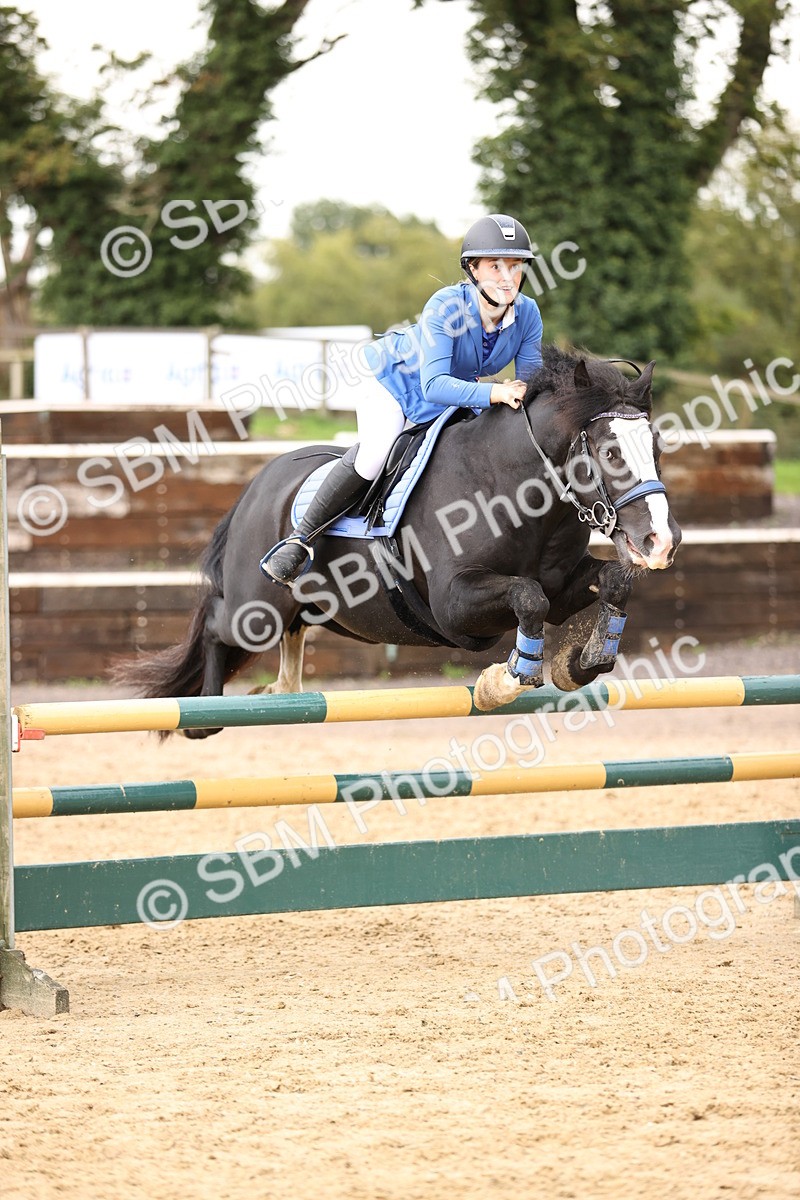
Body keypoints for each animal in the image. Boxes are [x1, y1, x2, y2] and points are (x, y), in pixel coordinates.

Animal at [114, 346, 681, 737]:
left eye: (655, 445)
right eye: (610, 453)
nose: (661, 541)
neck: (513, 487)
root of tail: (259, 482)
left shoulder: (563, 584)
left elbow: (608, 582)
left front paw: (582, 662)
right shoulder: (455, 605)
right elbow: (528, 597)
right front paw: (506, 679)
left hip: (304, 610)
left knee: (289, 638)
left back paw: (277, 692)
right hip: (255, 611)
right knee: (215, 623)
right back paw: (204, 714)